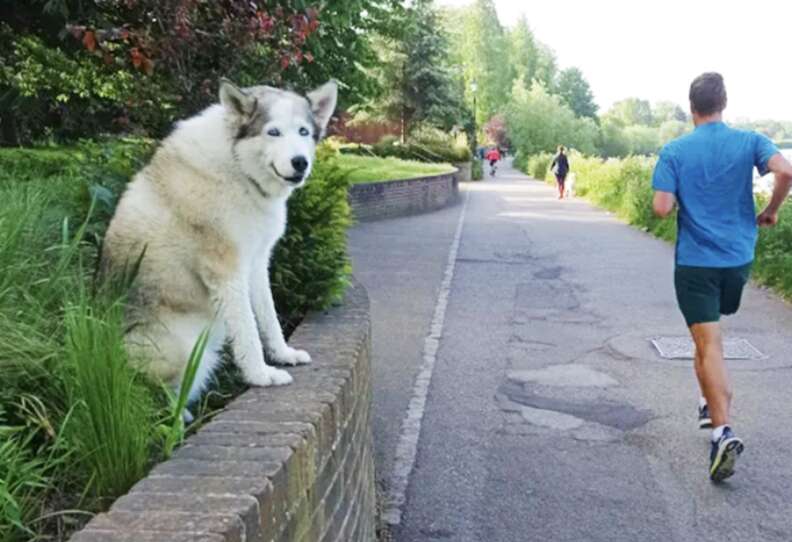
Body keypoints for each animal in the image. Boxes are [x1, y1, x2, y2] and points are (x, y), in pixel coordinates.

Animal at [101, 77, 338, 400]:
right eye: (273, 132)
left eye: (303, 131)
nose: (300, 162)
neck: (238, 167)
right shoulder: (226, 271)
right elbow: (248, 331)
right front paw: (261, 374)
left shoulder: (257, 264)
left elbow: (269, 318)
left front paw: (283, 354)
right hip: (185, 350)